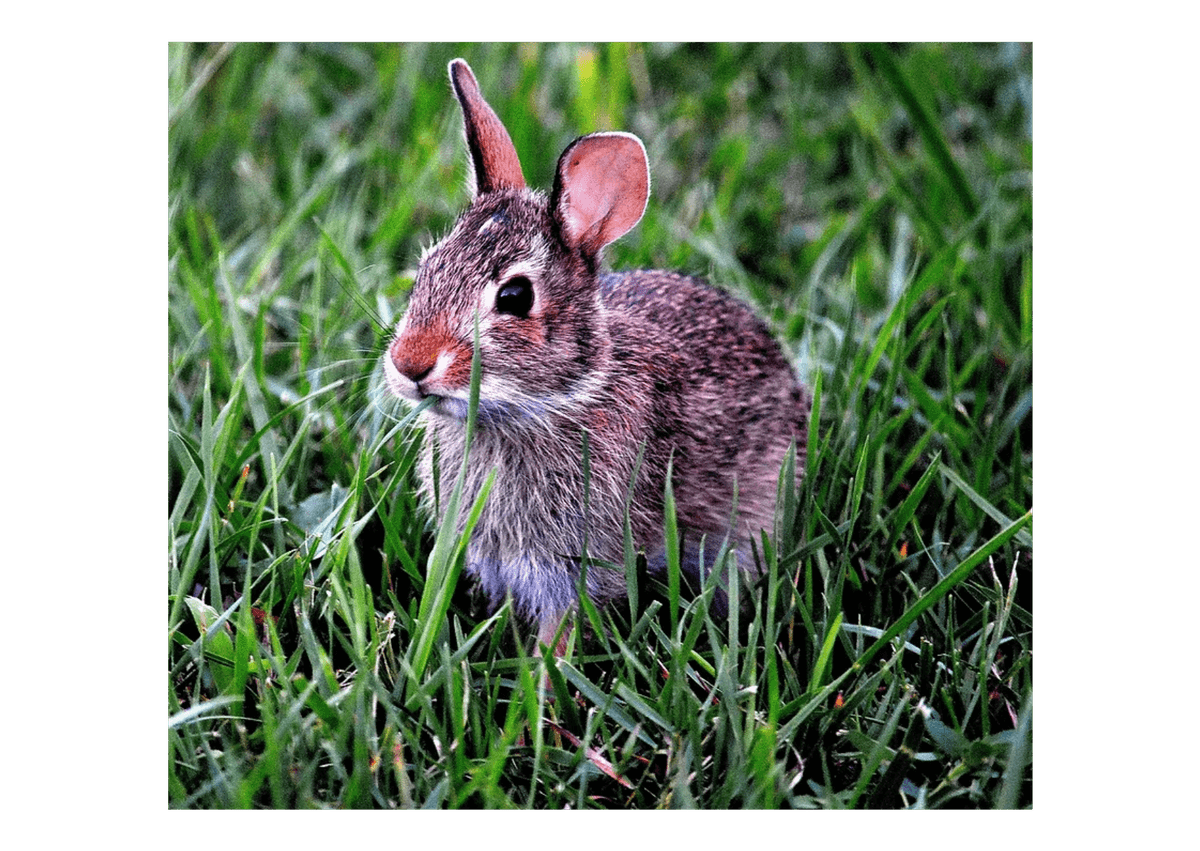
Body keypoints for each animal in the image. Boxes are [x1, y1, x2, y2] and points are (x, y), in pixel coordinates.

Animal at [381, 58, 816, 657]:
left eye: (514, 296)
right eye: (425, 269)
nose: (409, 364)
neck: (559, 399)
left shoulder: (577, 568)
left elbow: (561, 632)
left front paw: (543, 676)